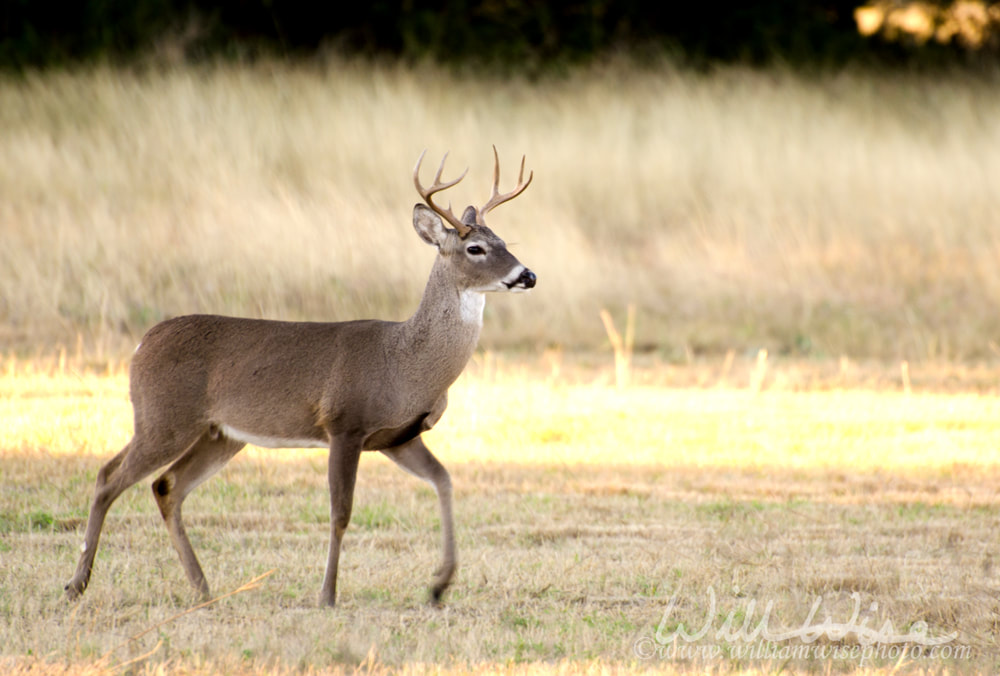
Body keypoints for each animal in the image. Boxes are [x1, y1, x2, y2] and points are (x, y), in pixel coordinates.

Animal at [63, 147, 536, 608]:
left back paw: (202, 587)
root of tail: (141, 344)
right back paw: (77, 584)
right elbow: (341, 511)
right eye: (475, 248)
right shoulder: (345, 424)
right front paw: (327, 595)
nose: (527, 275)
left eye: (504, 242)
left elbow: (444, 481)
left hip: (220, 433)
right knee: (108, 478)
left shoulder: (398, 437)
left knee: (167, 486)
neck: (405, 363)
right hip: (164, 417)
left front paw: (439, 585)